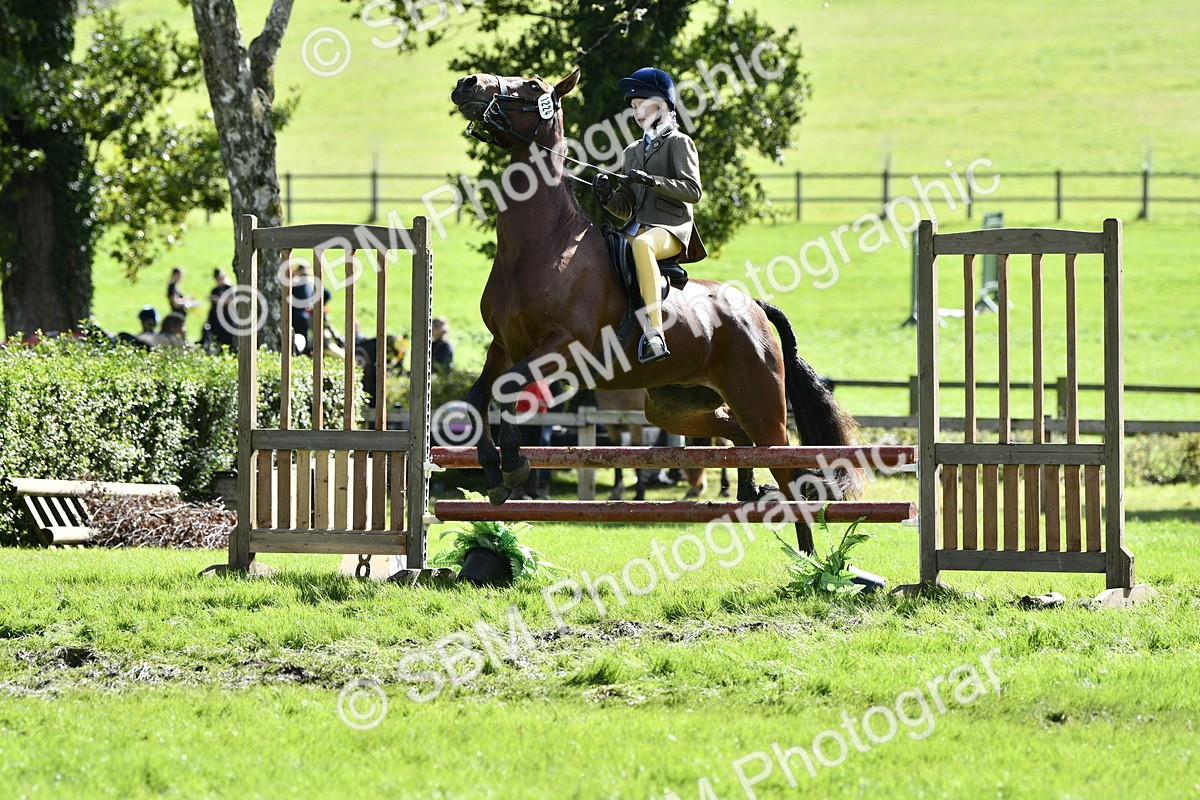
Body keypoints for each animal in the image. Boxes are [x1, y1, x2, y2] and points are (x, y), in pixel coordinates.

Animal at [450, 69, 857, 553]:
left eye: (532, 86)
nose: (467, 84)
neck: (541, 244)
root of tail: (752, 305)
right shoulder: (506, 346)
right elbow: (480, 396)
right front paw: (494, 474)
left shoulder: (562, 346)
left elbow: (509, 390)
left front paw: (513, 464)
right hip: (674, 405)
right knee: (736, 436)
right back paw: (748, 491)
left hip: (760, 400)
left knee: (788, 468)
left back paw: (808, 560)